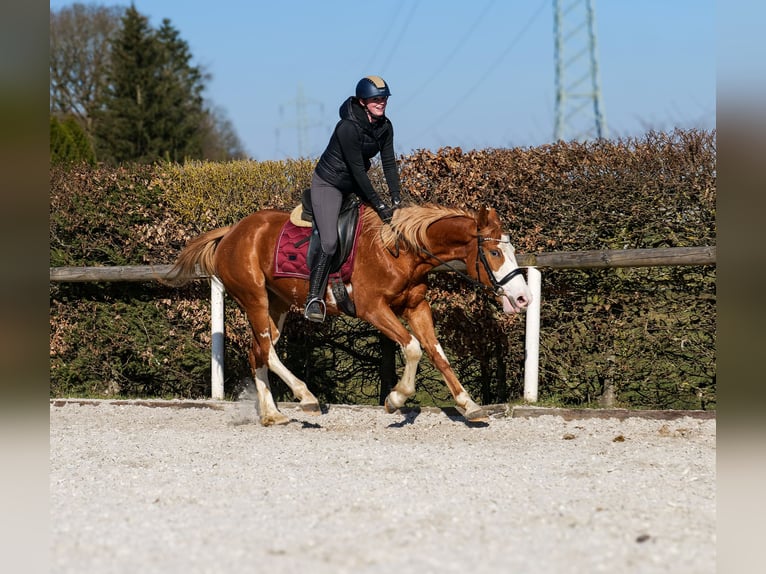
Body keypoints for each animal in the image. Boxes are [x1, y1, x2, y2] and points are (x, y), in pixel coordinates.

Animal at [165, 205, 532, 426]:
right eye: (494, 252)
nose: (523, 298)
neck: (401, 251)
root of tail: (231, 232)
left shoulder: (416, 307)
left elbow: (436, 352)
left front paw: (468, 404)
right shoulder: (374, 309)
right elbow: (413, 348)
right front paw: (396, 398)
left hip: (276, 305)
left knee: (258, 350)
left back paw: (272, 414)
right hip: (254, 298)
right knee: (267, 351)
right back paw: (306, 397)